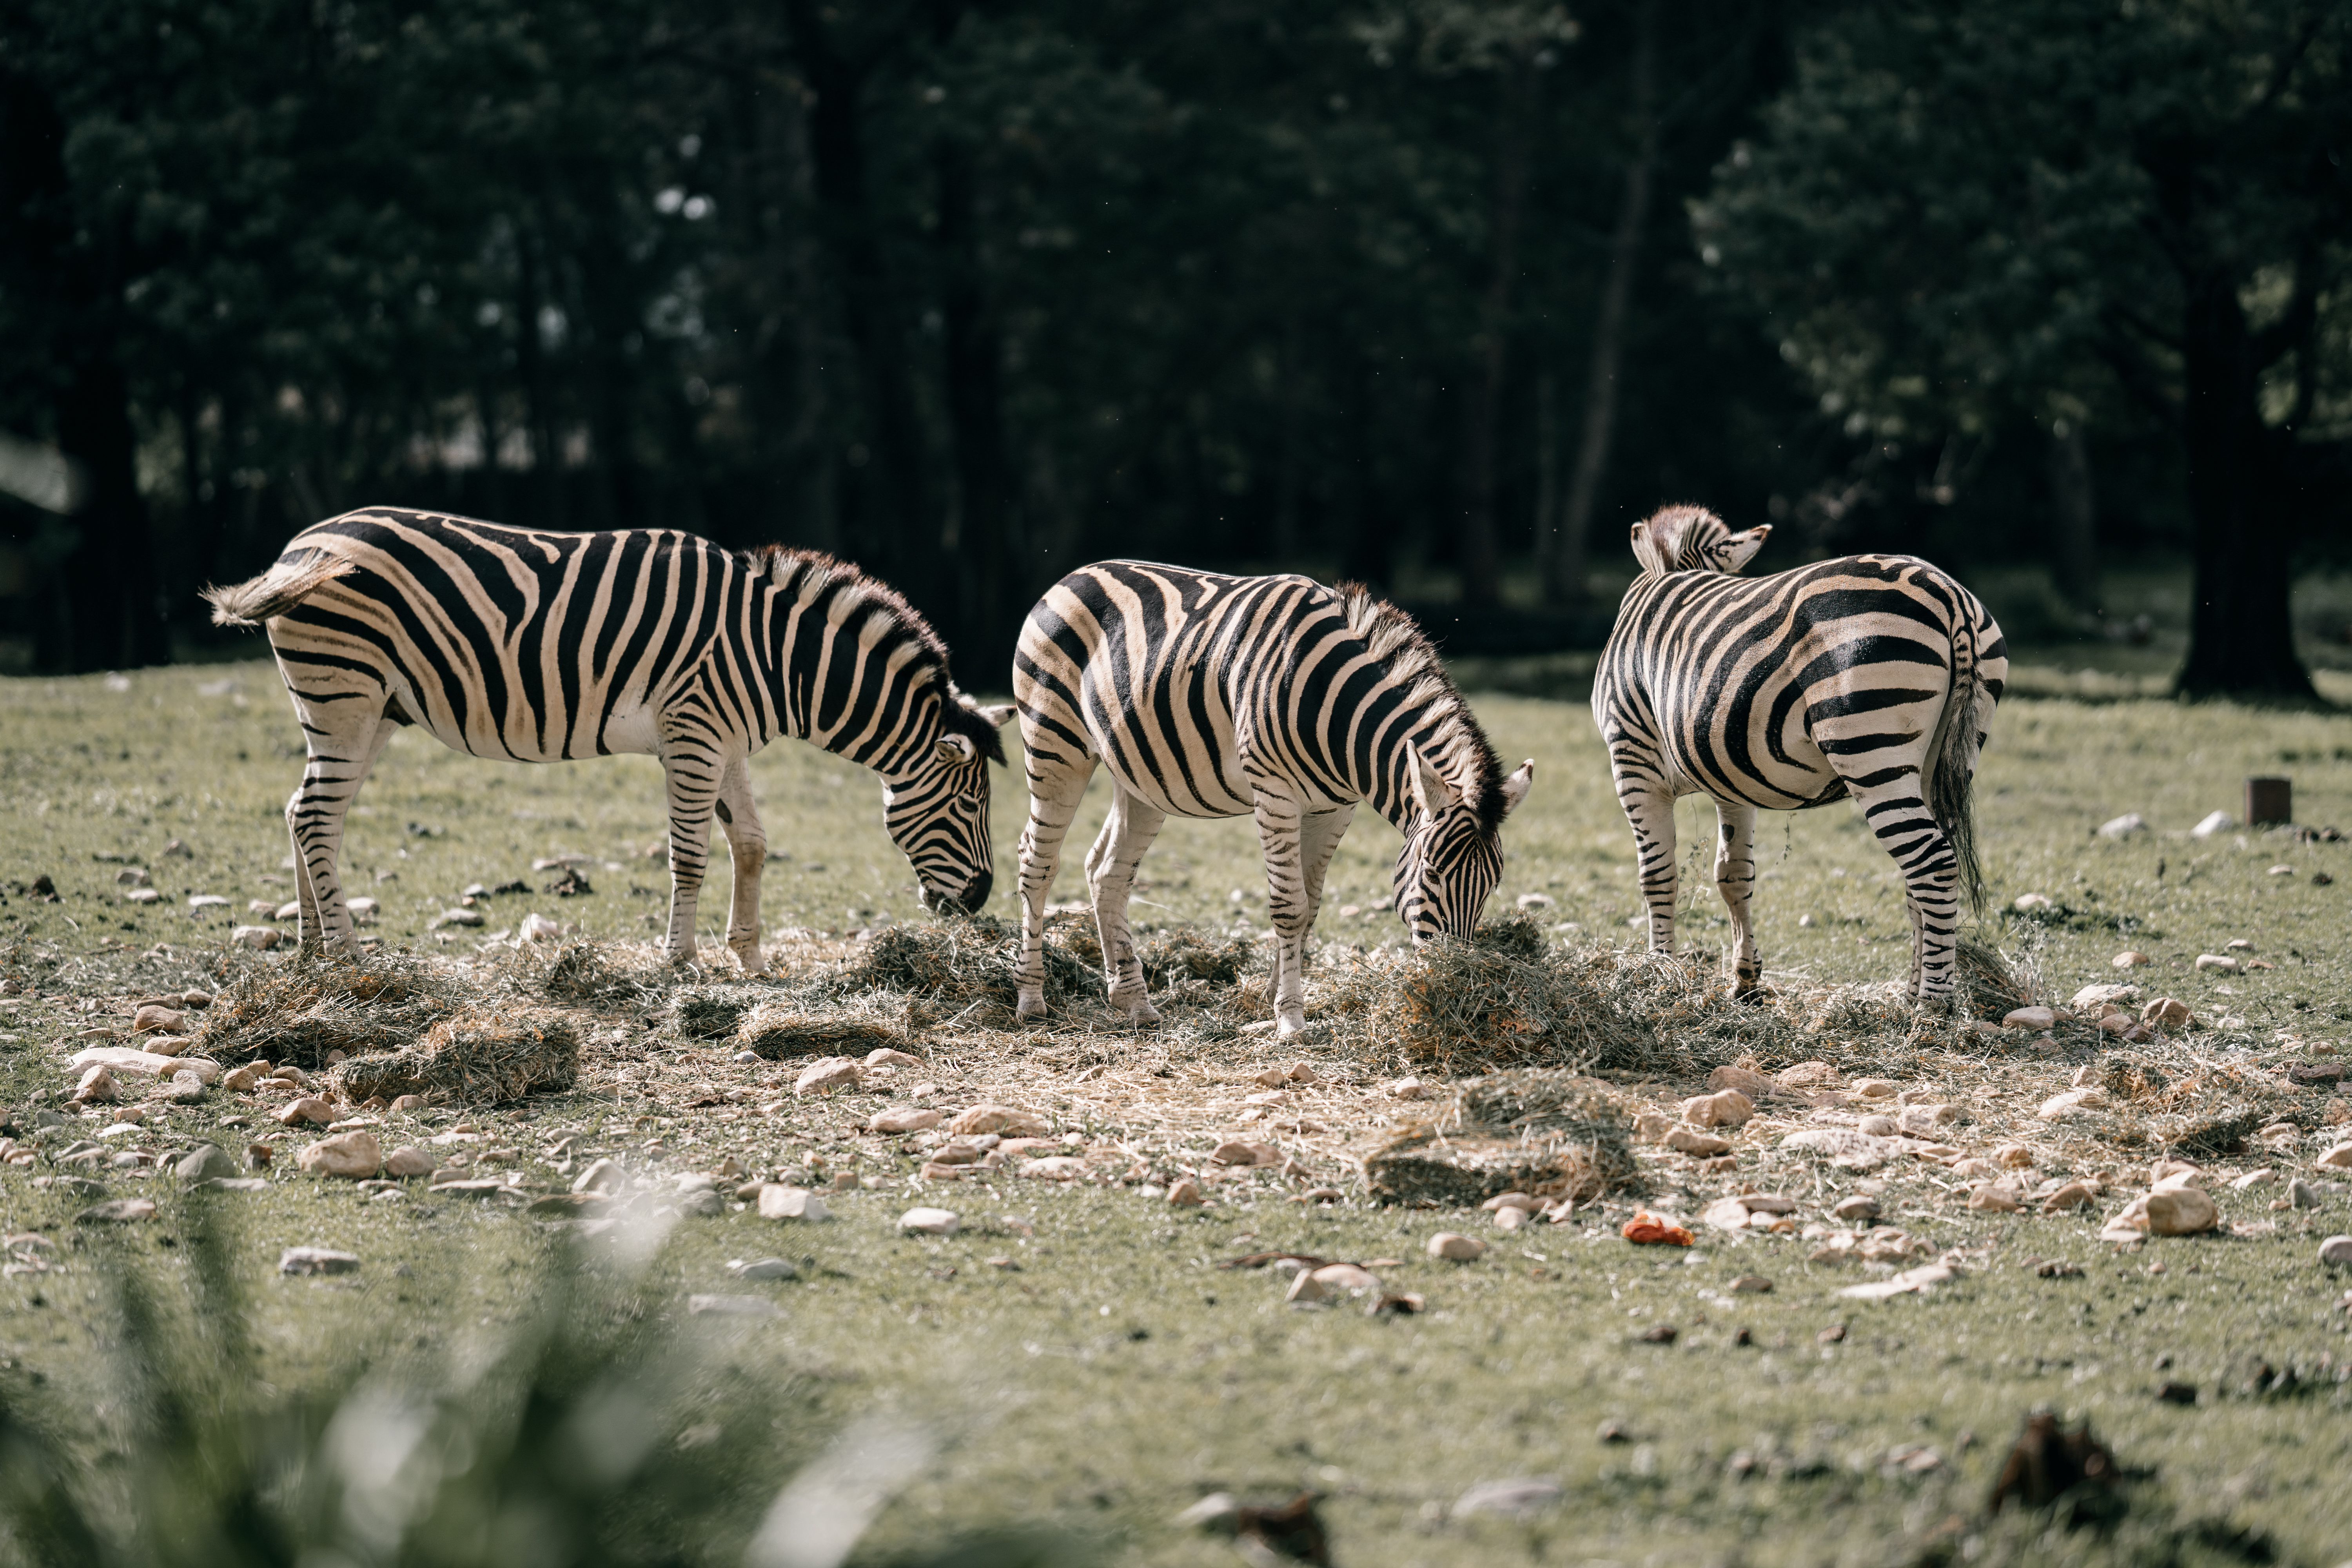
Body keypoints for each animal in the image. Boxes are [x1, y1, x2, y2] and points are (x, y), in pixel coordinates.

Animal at [203, 508, 1011, 971]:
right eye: (970, 810)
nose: (979, 901)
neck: (779, 659)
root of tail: (298, 546)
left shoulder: (727, 740)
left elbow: (751, 844)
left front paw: (751, 961)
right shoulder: (693, 732)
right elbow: (691, 855)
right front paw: (681, 963)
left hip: (373, 709)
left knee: (304, 813)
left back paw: (311, 951)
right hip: (345, 695)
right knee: (316, 816)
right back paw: (349, 957)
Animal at [1010, 561, 1535, 1036]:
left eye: (1493, 884)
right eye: (1432, 873)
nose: (1458, 983)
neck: (1338, 712)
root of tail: (1076, 573)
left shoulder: (1335, 808)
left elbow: (1312, 905)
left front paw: (1274, 996)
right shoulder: (1275, 791)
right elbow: (1289, 906)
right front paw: (1290, 1019)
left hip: (1139, 775)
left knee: (1108, 872)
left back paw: (1133, 1001)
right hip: (1055, 746)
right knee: (1037, 862)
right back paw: (1032, 999)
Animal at [1591, 504, 2007, 1002]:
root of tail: (1949, 595)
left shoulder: (1632, 761)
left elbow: (1658, 877)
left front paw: (1658, 973)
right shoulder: (1729, 777)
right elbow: (1733, 875)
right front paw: (1745, 981)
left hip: (1870, 748)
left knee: (1933, 863)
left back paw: (1933, 1004)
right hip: (1945, 757)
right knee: (1924, 873)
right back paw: (1909, 994)